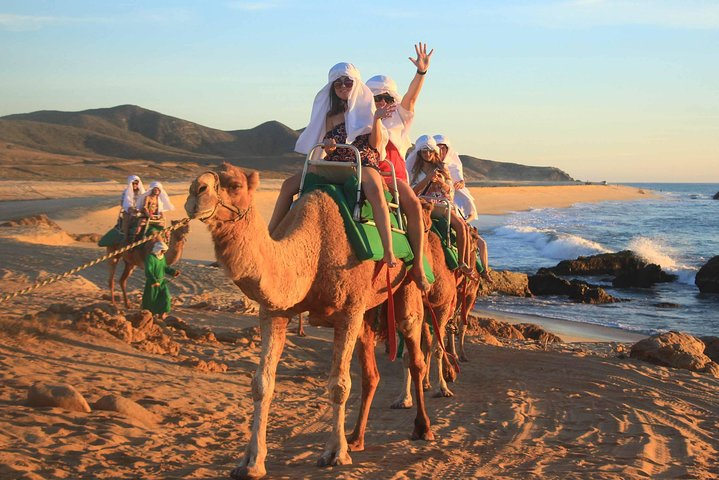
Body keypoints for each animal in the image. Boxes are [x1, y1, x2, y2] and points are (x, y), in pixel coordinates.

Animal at [186, 163, 434, 478]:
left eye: (235, 185)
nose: (196, 191)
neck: (313, 248)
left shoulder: (348, 311)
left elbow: (339, 384)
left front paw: (335, 453)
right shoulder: (275, 311)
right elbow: (262, 383)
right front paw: (251, 462)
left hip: (406, 285)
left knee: (414, 352)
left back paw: (422, 428)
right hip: (367, 309)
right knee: (371, 373)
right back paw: (357, 438)